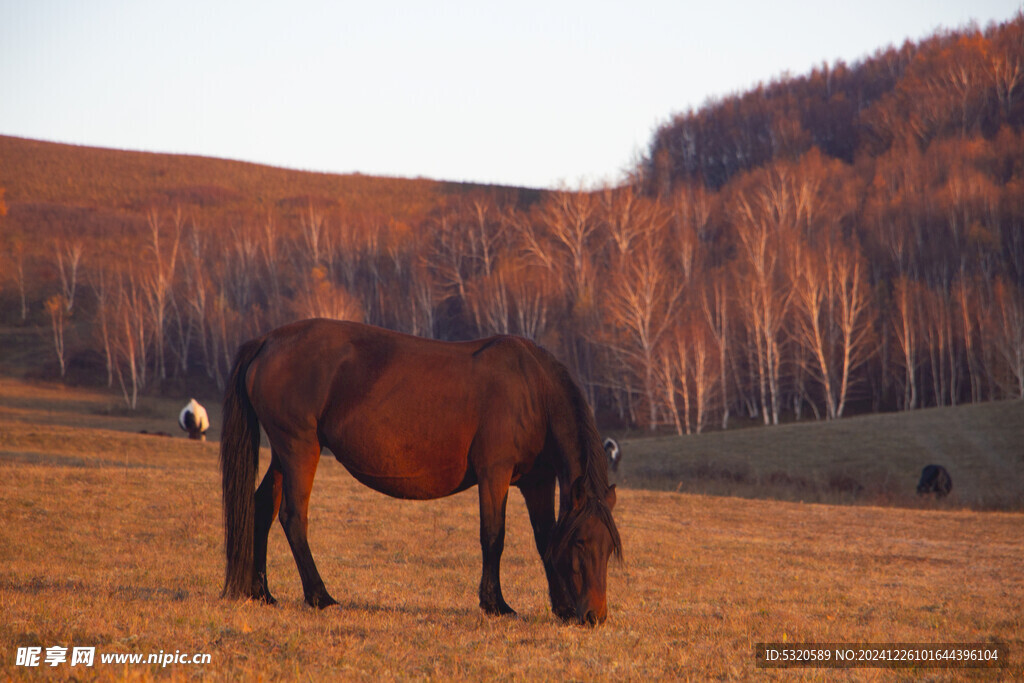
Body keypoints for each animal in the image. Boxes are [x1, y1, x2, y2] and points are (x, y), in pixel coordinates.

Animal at [222, 319, 622, 626]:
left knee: (262, 508)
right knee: (293, 517)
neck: (533, 391)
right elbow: (494, 536)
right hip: (300, 449)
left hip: (282, 453)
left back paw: (262, 592)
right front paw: (496, 604)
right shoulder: (495, 475)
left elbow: (545, 539)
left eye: (608, 547)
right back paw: (320, 596)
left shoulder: (537, 482)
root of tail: (267, 341)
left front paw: (562, 607)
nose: (594, 616)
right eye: (582, 542)